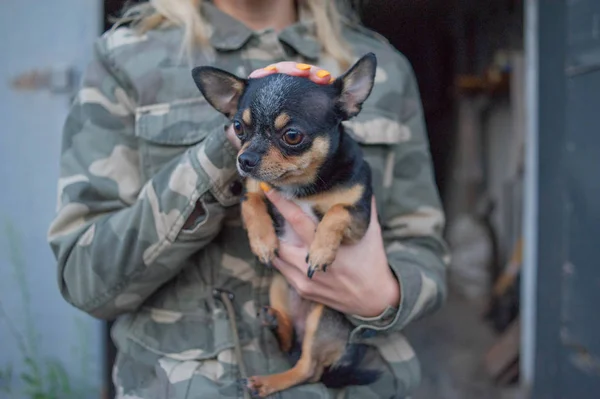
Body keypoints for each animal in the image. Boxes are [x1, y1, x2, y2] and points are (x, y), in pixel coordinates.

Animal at [191, 54, 380, 399]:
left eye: (292, 136)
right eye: (238, 127)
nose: (244, 159)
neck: (301, 187)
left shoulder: (360, 217)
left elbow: (336, 212)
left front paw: (320, 251)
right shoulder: (254, 188)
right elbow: (251, 203)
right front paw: (263, 243)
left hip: (324, 316)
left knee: (308, 368)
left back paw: (268, 381)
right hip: (279, 287)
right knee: (290, 343)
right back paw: (275, 324)